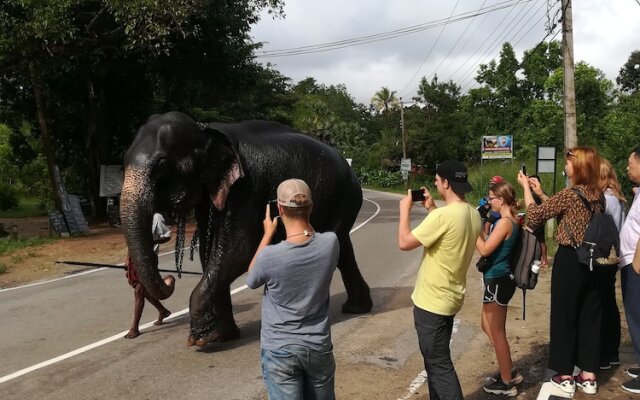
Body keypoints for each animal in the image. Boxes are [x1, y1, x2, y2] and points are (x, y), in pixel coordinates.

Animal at [119, 111, 376, 346]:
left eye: (162, 165)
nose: (171, 278)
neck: (205, 130)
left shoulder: (247, 187)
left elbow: (241, 249)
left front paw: (202, 339)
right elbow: (210, 250)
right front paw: (224, 337)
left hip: (346, 195)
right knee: (342, 248)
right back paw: (356, 308)